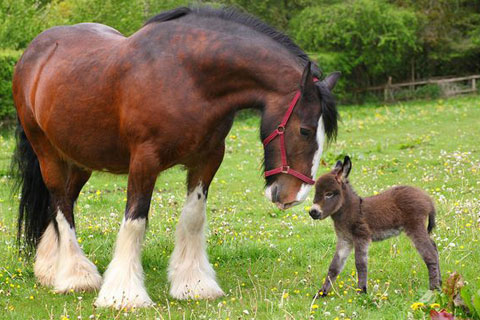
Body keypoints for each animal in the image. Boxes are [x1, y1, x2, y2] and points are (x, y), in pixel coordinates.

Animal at [13, 6, 340, 308]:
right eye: (305, 130)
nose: (294, 195)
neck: (188, 75)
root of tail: (35, 52)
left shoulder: (208, 158)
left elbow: (193, 217)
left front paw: (194, 284)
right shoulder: (144, 160)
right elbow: (135, 220)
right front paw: (125, 294)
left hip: (81, 160)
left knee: (64, 202)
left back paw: (50, 268)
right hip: (48, 154)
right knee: (61, 205)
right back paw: (75, 276)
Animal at [310, 156, 440, 298]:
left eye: (329, 194)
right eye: (316, 193)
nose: (313, 212)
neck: (350, 211)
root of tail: (427, 199)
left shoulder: (361, 236)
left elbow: (360, 264)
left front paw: (361, 291)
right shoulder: (345, 240)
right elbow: (334, 266)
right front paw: (321, 293)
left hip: (415, 226)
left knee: (430, 254)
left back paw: (433, 289)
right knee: (434, 247)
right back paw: (439, 284)